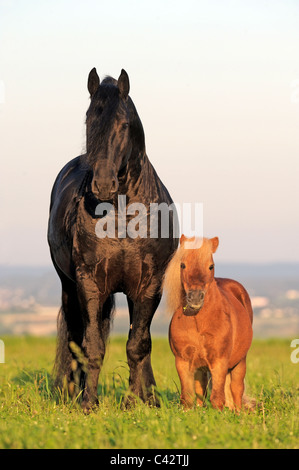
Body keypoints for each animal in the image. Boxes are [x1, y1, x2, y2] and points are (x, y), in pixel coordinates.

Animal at [47, 67, 178, 412]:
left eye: (124, 124)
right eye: (90, 120)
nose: (103, 184)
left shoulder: (148, 284)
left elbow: (138, 345)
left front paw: (134, 403)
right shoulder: (89, 283)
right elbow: (91, 345)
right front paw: (88, 403)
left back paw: (151, 397)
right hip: (69, 288)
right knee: (74, 339)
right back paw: (73, 391)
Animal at [164, 235, 255, 412]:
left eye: (211, 266)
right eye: (183, 265)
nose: (195, 297)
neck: (198, 322)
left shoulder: (219, 361)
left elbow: (217, 399)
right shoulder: (183, 362)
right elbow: (188, 397)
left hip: (240, 362)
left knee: (236, 390)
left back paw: (238, 413)